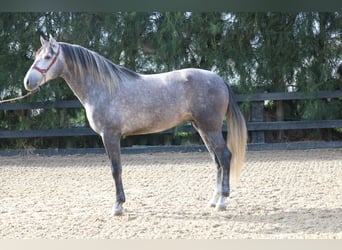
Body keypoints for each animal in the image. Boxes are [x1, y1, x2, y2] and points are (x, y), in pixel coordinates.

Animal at [24, 35, 248, 217]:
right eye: (36, 55)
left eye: (47, 57)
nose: (28, 82)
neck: (103, 87)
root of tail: (219, 79)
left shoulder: (110, 135)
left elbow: (115, 169)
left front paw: (118, 206)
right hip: (202, 128)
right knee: (217, 161)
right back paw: (214, 200)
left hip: (210, 128)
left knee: (225, 157)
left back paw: (222, 201)